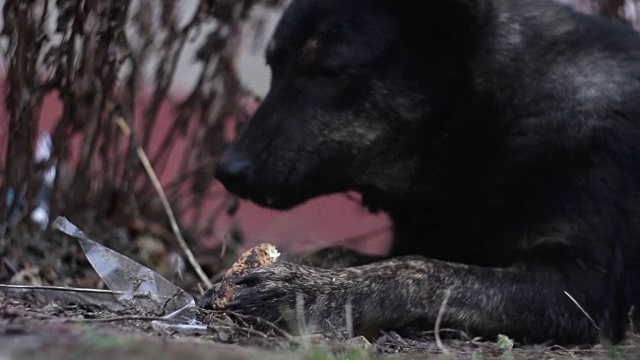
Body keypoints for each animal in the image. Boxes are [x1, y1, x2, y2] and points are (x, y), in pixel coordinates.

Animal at [209, 0, 640, 344]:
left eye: (329, 70)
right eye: (272, 66)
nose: (228, 170)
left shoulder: (581, 286)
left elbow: (421, 270)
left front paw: (310, 291)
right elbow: (349, 252)